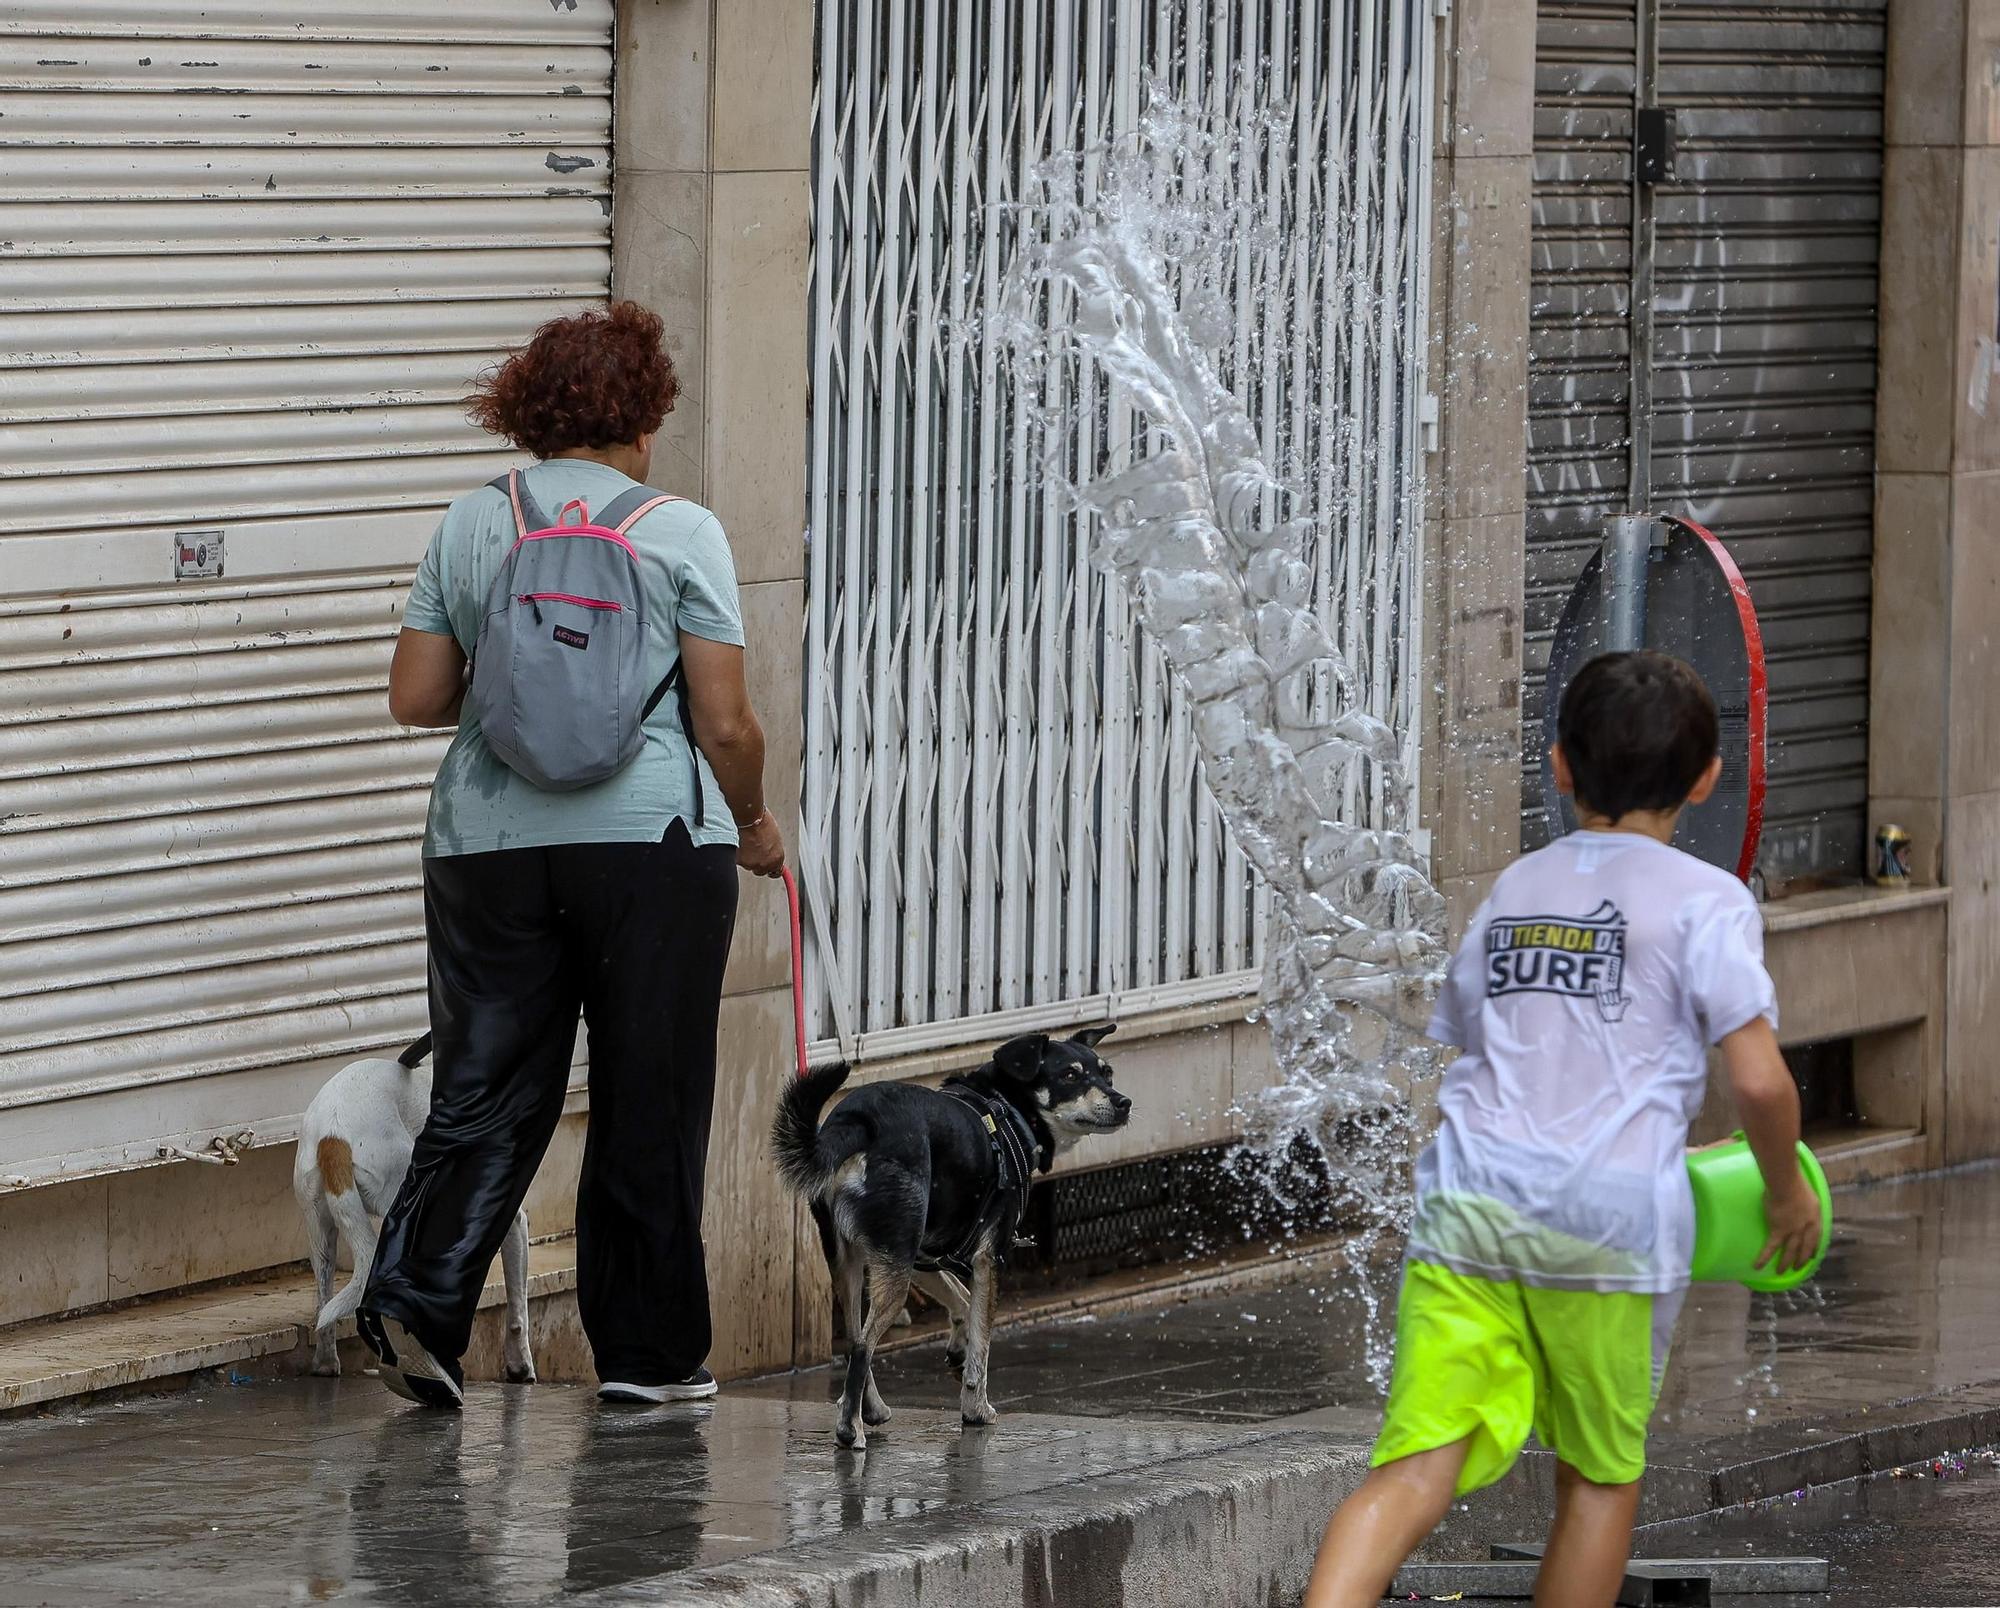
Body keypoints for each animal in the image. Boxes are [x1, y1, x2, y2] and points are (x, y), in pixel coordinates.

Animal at [292, 1040, 532, 1376]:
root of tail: (333, 1135)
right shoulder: (512, 1222)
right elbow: (517, 1306)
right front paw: (520, 1364)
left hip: (319, 1226)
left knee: (324, 1300)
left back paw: (326, 1362)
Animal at [772, 1032, 1136, 1456]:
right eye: (1070, 1075)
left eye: (1106, 1072)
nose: (1123, 1101)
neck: (1009, 1108)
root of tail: (858, 1124)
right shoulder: (988, 1257)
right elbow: (983, 1342)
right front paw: (976, 1407)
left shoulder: (921, 1255)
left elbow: (963, 1303)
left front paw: (958, 1345)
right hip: (891, 1261)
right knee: (863, 1346)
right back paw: (851, 1429)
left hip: (852, 1259)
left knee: (853, 1337)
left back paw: (869, 1407)